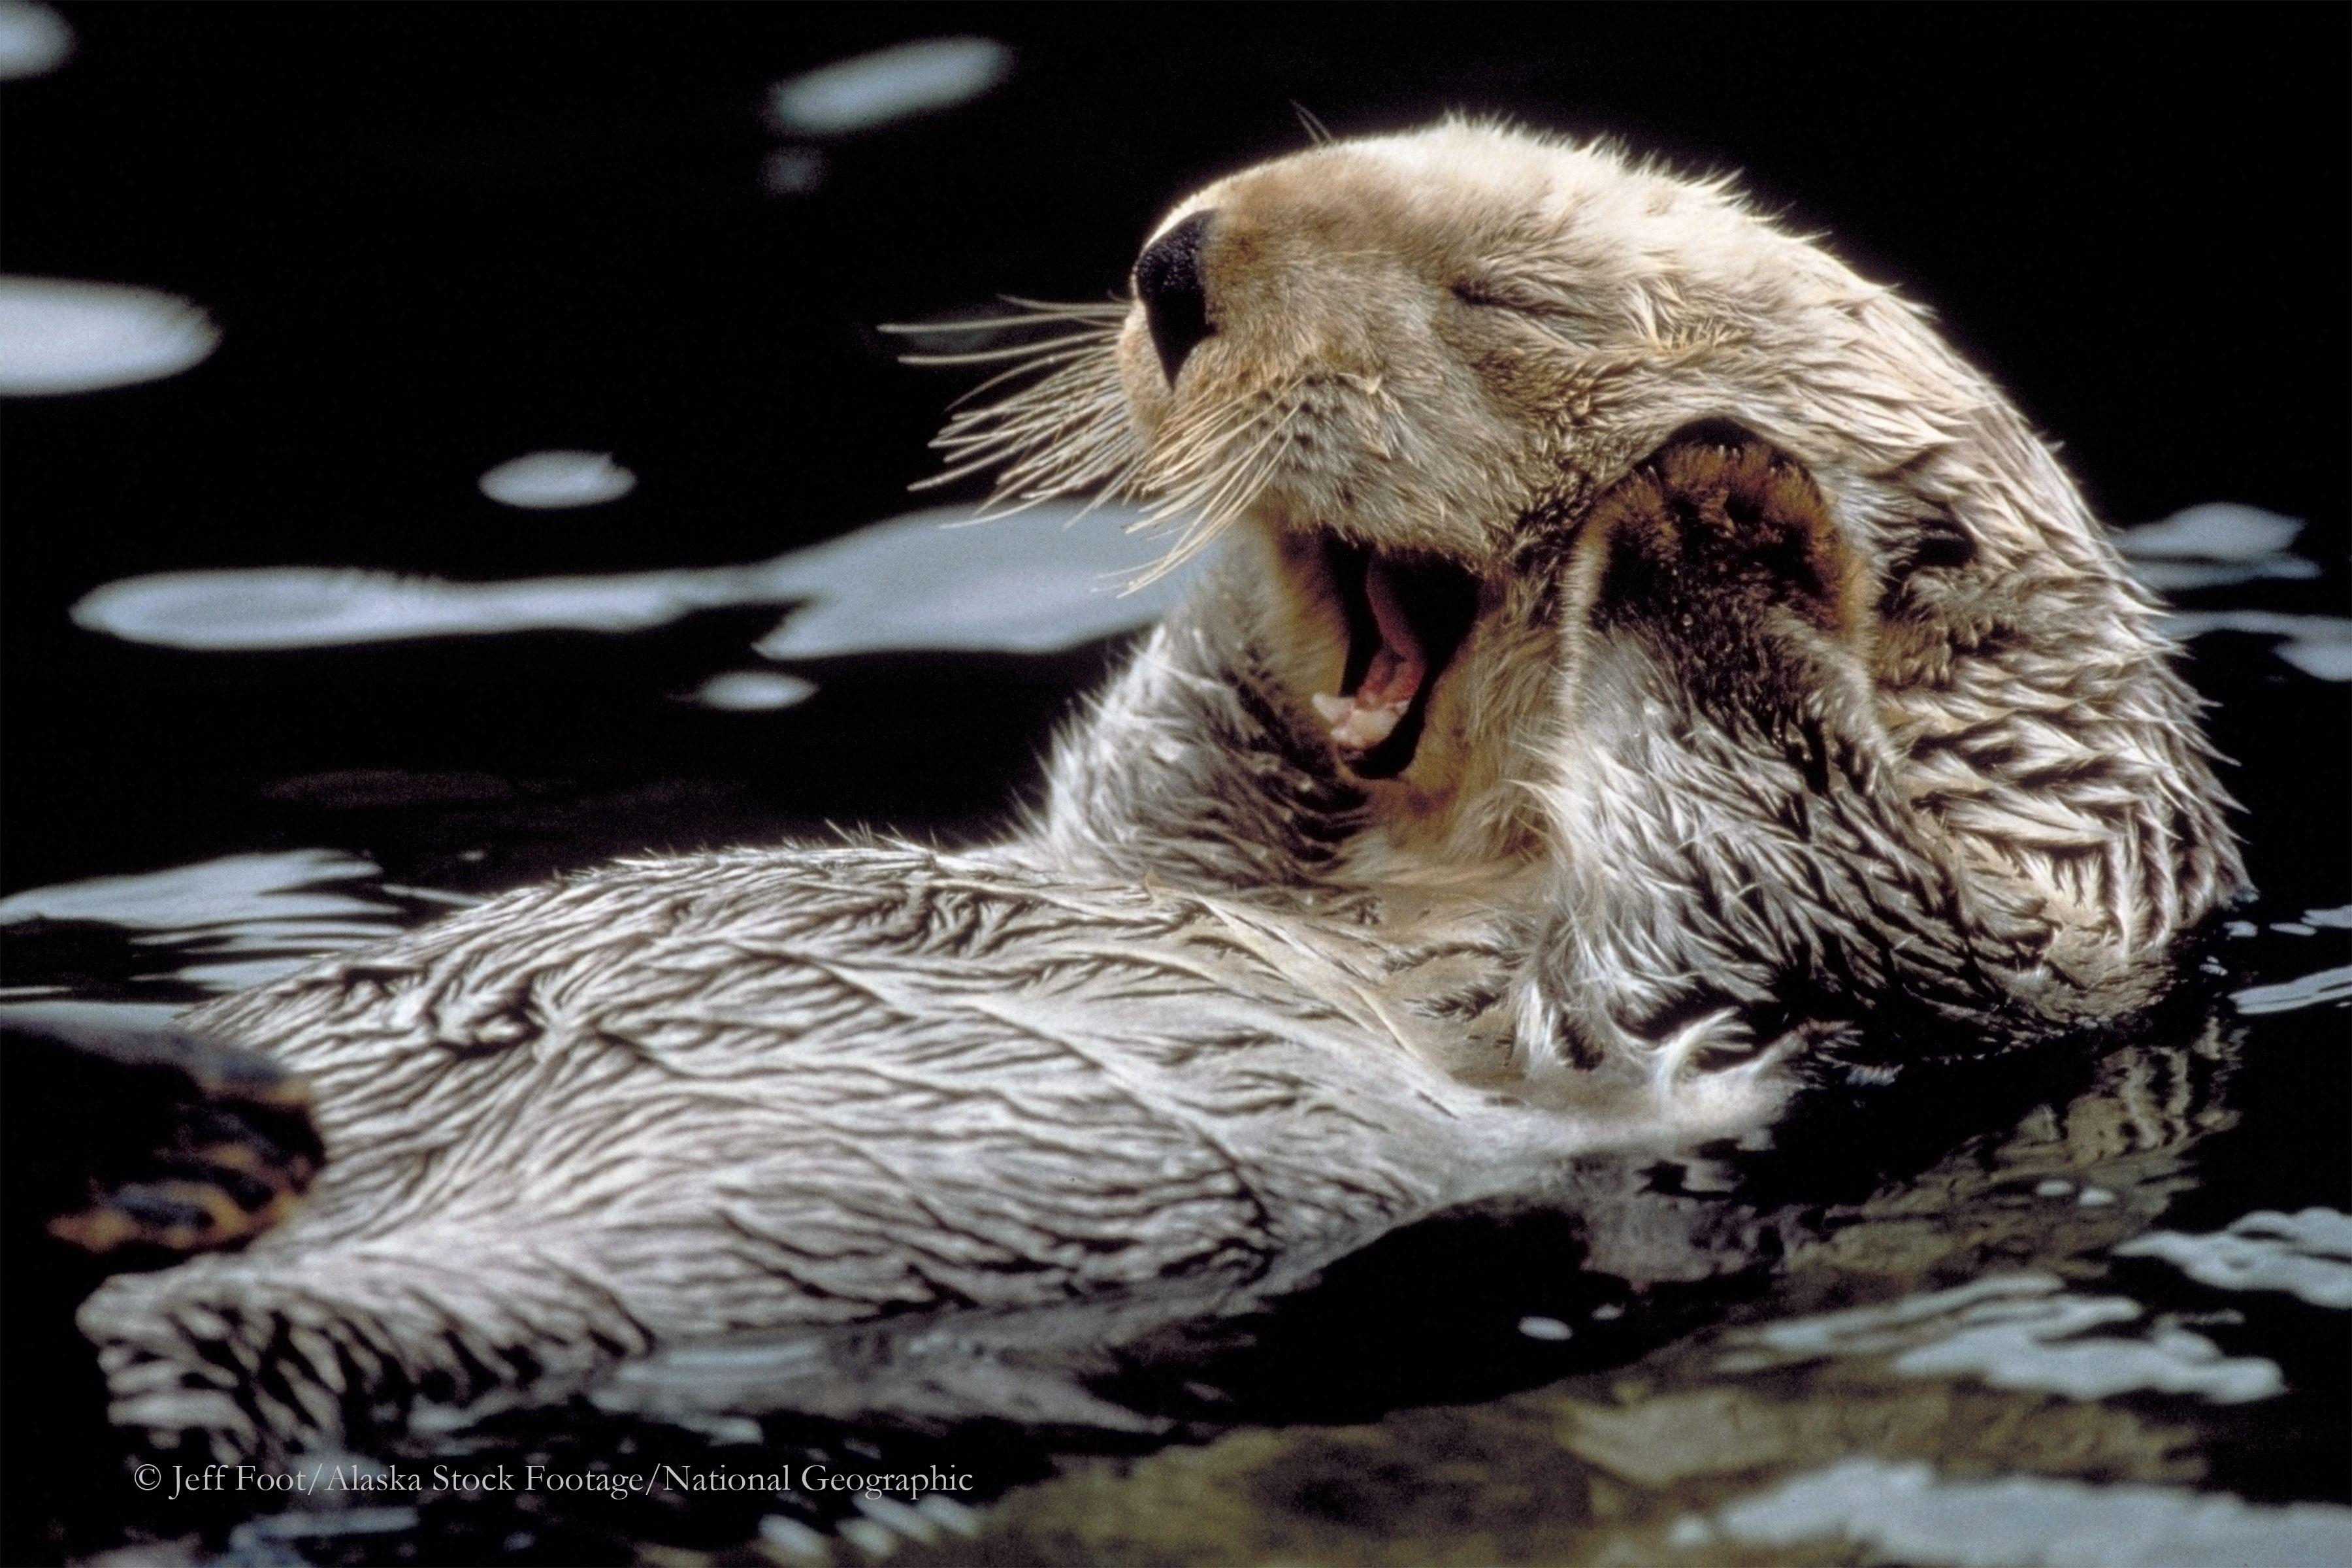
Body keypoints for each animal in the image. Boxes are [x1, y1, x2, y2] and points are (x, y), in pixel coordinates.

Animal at [76, 122, 2241, 1464]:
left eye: (1512, 300)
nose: (1178, 263)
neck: (1426, 865)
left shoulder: (1936, 955)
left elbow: (1832, 860)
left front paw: (1719, 511)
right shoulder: (1171, 834)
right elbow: (1164, 779)